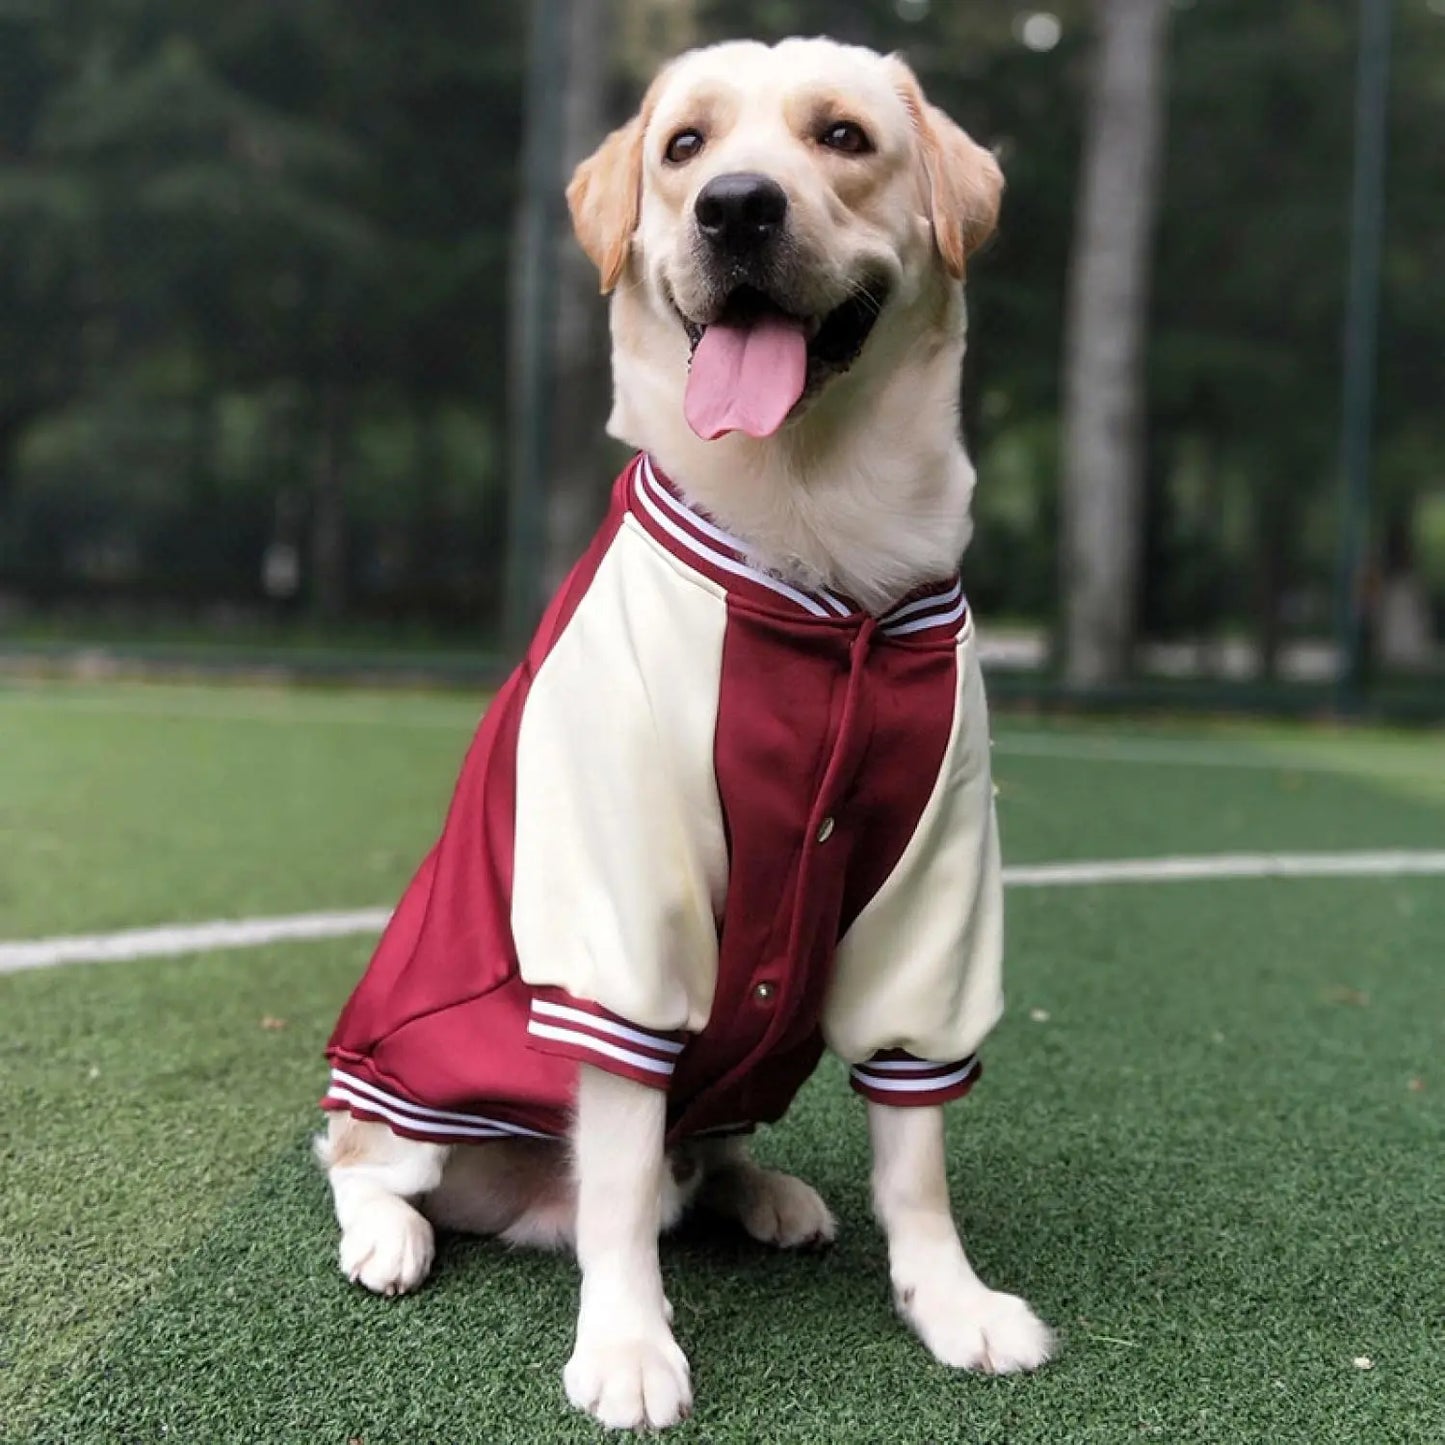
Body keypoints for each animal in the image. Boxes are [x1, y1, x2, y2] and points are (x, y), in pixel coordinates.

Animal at [322, 36, 1057, 1433]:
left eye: (841, 137)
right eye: (683, 149)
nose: (736, 208)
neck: (819, 551)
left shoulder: (932, 893)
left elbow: (916, 1155)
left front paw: (946, 1299)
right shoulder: (621, 918)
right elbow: (617, 1183)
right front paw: (625, 1342)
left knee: (697, 1157)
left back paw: (763, 1193)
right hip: (406, 1085)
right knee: (361, 1154)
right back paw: (389, 1231)